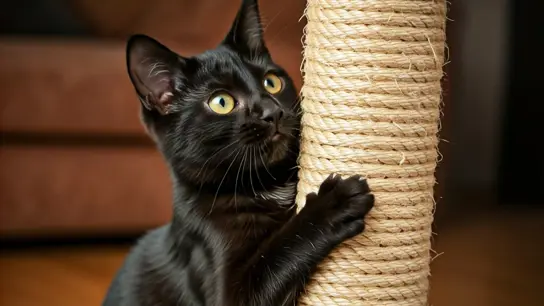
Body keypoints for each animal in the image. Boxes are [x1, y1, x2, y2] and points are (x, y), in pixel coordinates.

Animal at [102, 1, 374, 304]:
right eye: (222, 102)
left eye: (271, 82)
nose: (272, 111)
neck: (266, 184)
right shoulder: (225, 282)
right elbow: (281, 249)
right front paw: (333, 203)